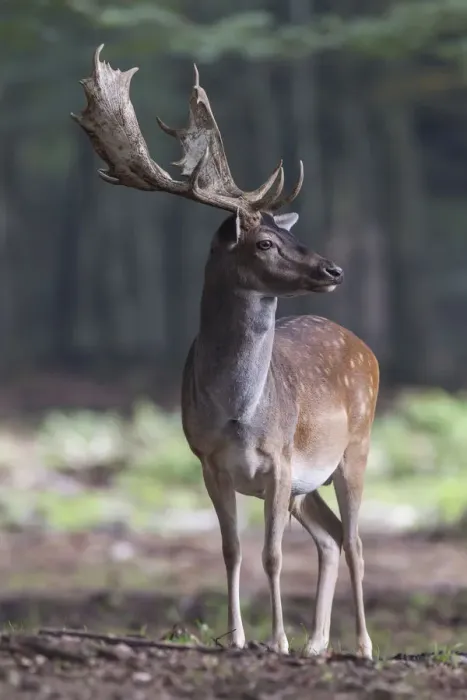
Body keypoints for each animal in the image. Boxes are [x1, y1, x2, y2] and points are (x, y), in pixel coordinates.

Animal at [72, 46, 379, 659]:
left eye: (290, 236)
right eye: (264, 242)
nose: (333, 269)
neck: (238, 412)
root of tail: (368, 351)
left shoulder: (280, 462)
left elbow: (272, 555)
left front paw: (276, 640)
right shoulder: (210, 462)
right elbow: (233, 550)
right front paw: (240, 639)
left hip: (354, 447)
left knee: (357, 541)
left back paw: (361, 646)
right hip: (311, 482)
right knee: (333, 539)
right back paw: (318, 644)